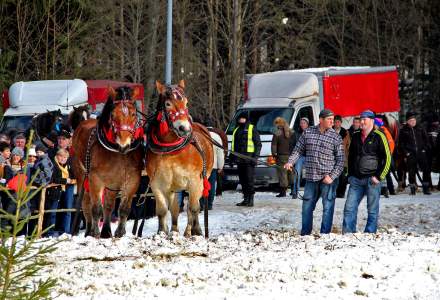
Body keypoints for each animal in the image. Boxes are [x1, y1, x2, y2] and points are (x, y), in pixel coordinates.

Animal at [72, 85, 144, 238]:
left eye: (133, 114)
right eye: (113, 115)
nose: (124, 144)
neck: (118, 152)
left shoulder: (132, 179)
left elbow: (123, 208)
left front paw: (120, 232)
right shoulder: (95, 178)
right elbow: (96, 208)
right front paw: (95, 233)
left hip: (112, 183)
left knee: (109, 205)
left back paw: (106, 231)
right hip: (82, 176)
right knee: (86, 203)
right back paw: (89, 230)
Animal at [145, 79, 214, 237]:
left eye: (186, 103)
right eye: (168, 104)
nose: (184, 128)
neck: (172, 151)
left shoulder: (195, 180)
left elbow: (193, 208)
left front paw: (195, 231)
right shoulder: (157, 183)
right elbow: (162, 210)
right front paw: (161, 232)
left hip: (201, 180)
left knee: (192, 207)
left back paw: (190, 230)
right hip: (173, 186)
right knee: (175, 208)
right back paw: (174, 229)